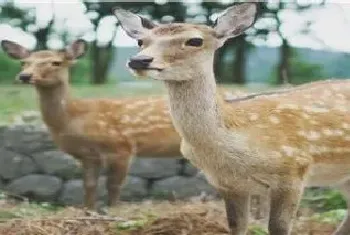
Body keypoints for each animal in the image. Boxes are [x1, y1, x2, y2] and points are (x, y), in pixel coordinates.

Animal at [115, 3, 350, 235]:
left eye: (195, 40)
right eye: (141, 41)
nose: (139, 60)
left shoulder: (294, 169)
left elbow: (278, 227)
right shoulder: (228, 184)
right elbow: (237, 225)